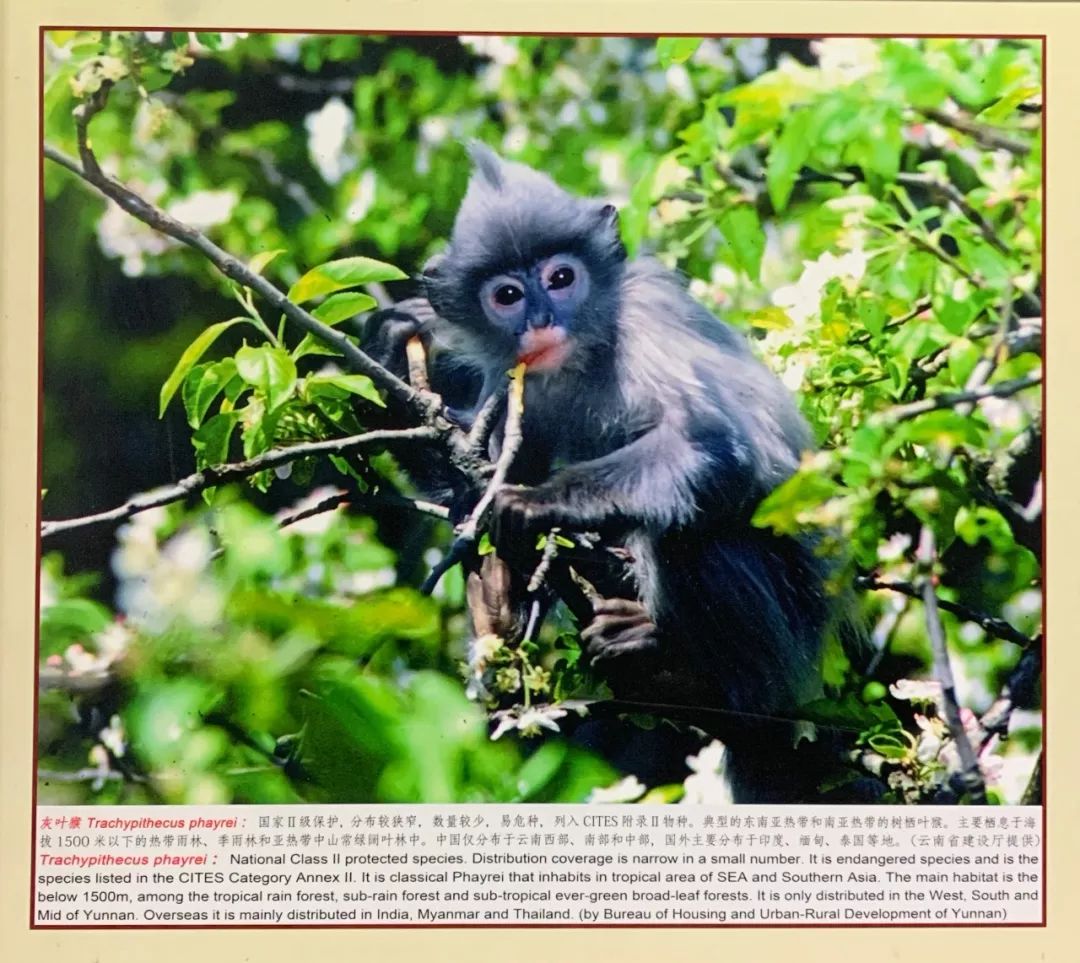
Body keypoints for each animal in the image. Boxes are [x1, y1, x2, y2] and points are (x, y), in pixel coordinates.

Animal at [367, 142, 855, 803]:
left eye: (561, 278)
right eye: (507, 295)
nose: (541, 319)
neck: (585, 355)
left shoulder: (647, 319)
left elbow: (719, 446)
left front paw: (535, 502)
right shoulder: (518, 383)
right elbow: (480, 472)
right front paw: (393, 353)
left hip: (789, 615)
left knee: (690, 533)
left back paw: (678, 668)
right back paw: (498, 604)